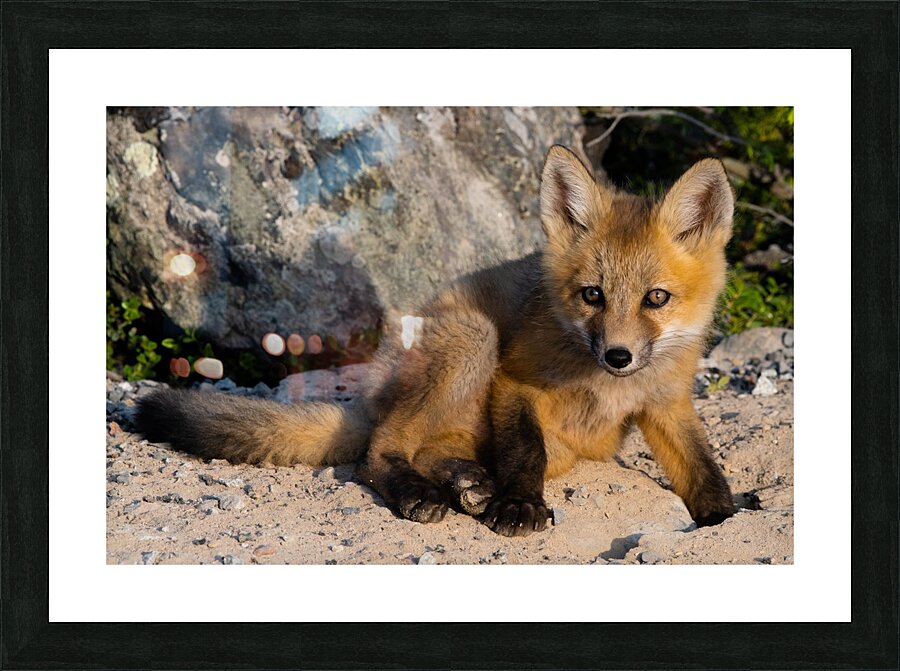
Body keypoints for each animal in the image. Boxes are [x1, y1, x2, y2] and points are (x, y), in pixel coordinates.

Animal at [134, 145, 736, 537]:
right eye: (592, 295)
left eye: (655, 298)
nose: (618, 355)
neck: (604, 387)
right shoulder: (515, 381)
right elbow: (525, 453)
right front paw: (520, 505)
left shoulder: (667, 403)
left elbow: (703, 470)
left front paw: (724, 517)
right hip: (474, 338)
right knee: (380, 450)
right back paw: (423, 493)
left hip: (553, 439)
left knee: (433, 450)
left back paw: (468, 484)